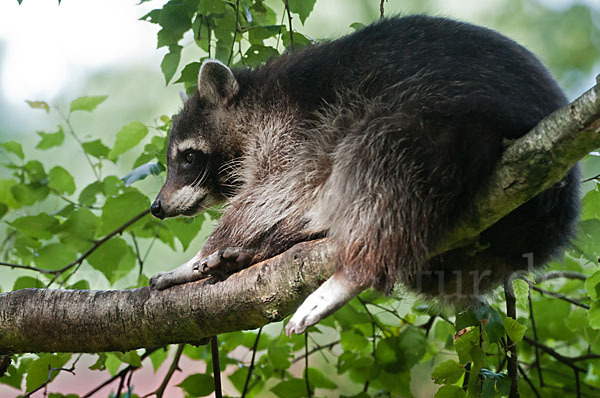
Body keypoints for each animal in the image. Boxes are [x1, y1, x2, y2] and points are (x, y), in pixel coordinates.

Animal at [150, 14, 580, 334]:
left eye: (188, 158)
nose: (156, 207)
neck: (254, 102)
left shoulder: (296, 127)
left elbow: (274, 191)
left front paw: (192, 260)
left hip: (439, 119)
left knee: (378, 167)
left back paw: (352, 271)